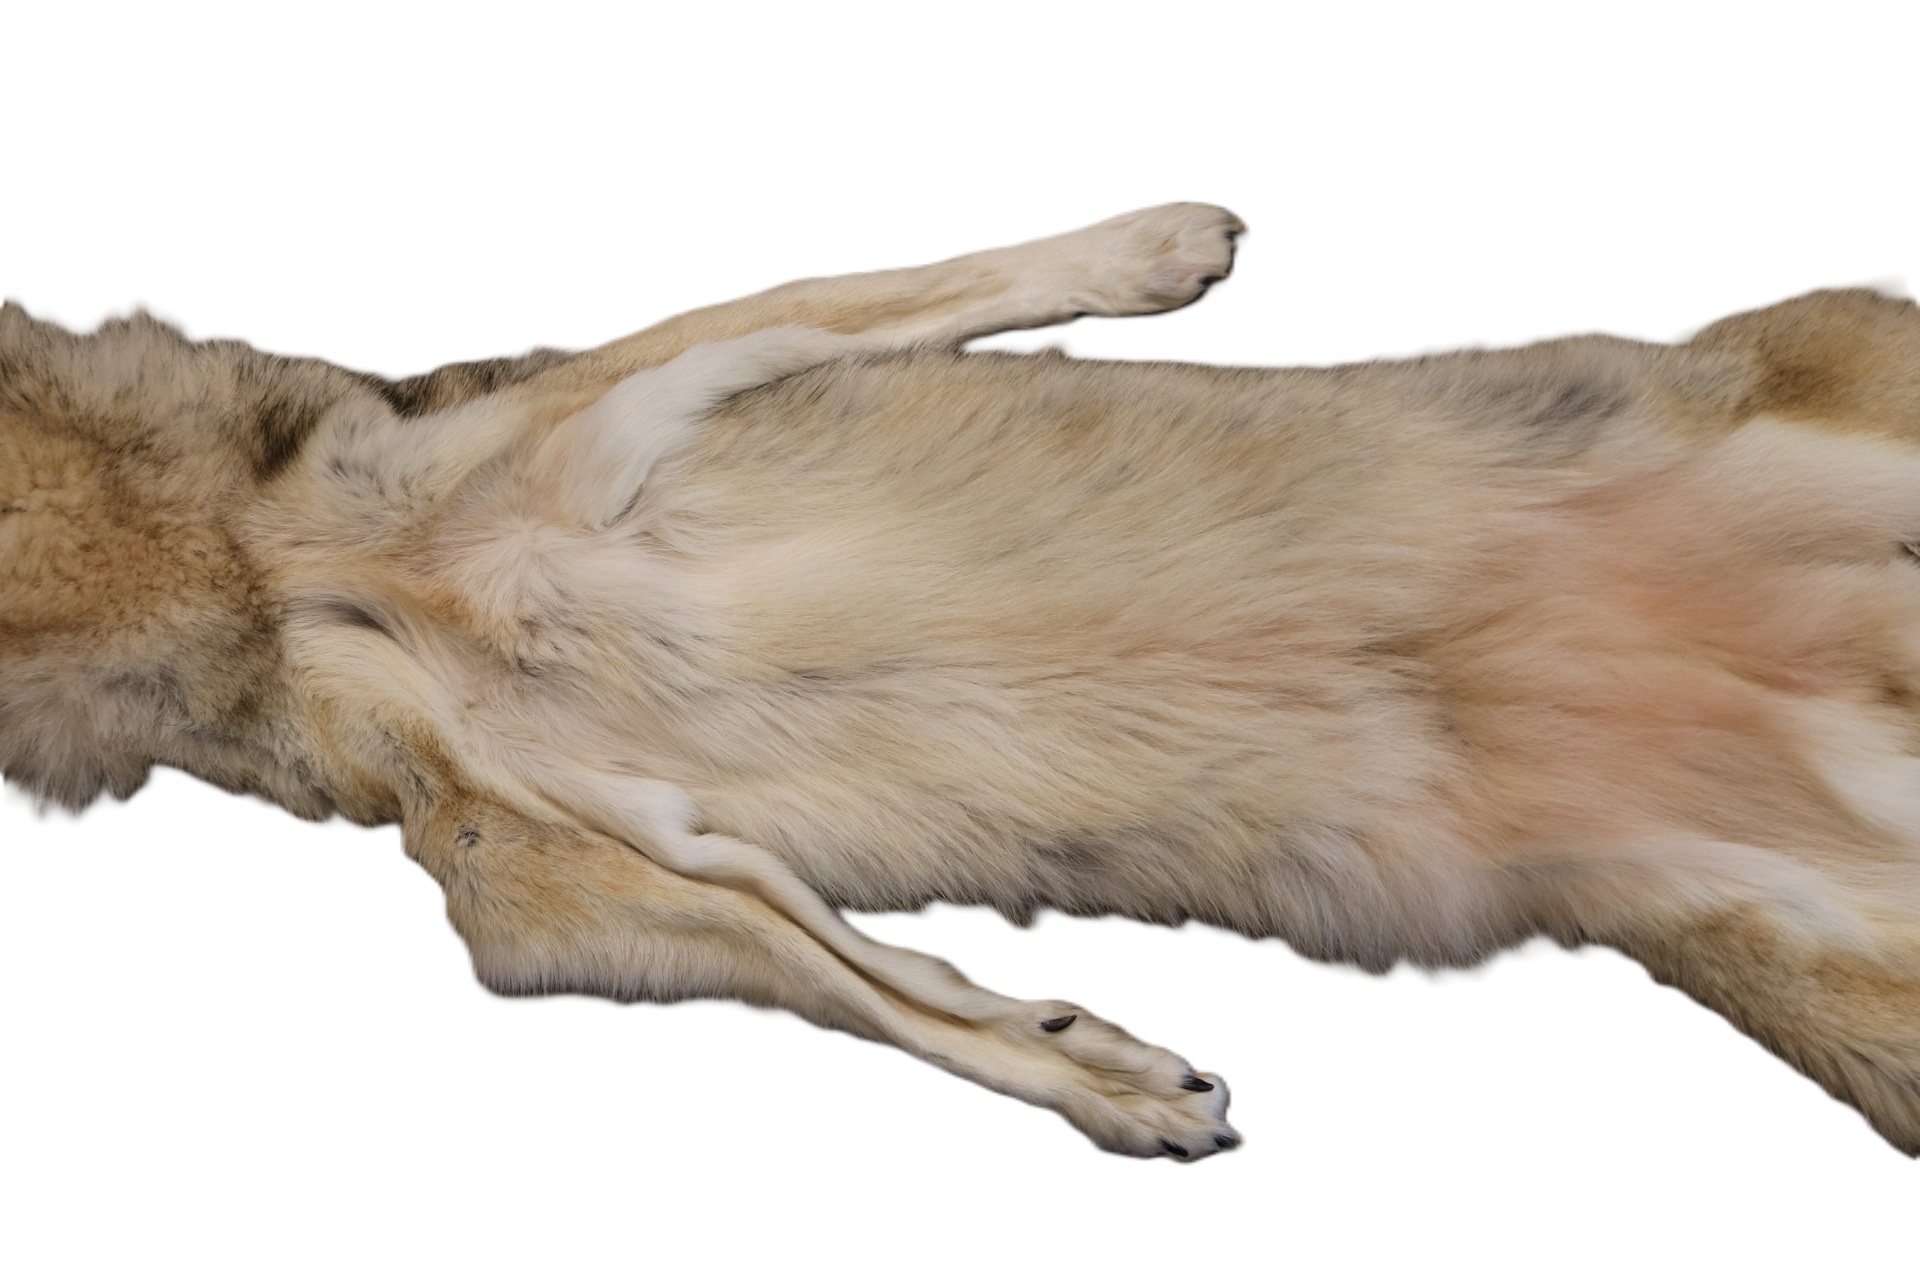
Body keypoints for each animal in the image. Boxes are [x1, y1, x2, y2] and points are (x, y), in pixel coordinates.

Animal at [6, 203, 1920, 1160]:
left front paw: (1161, 248)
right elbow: (876, 984)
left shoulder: (612, 392)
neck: (256, 565)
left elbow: (862, 279)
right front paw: (1113, 1076)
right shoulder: (533, 880)